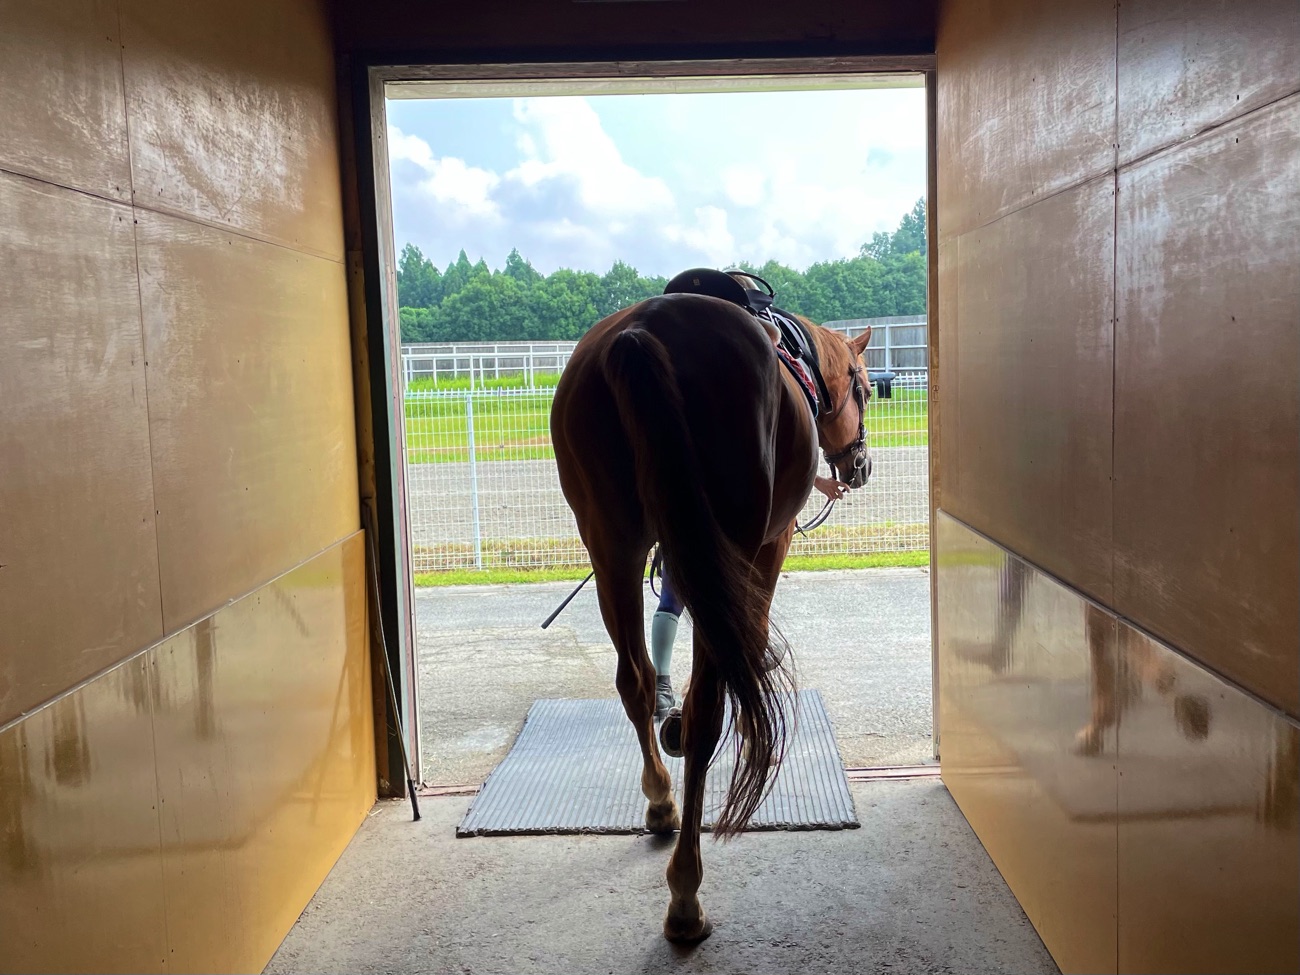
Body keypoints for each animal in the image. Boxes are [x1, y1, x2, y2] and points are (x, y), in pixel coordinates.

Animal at [548, 276, 873, 946]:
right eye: (864, 387)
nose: (860, 465)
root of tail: (641, 331)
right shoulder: (768, 546)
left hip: (614, 546)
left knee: (636, 681)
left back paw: (660, 800)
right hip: (718, 540)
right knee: (703, 709)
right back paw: (686, 892)